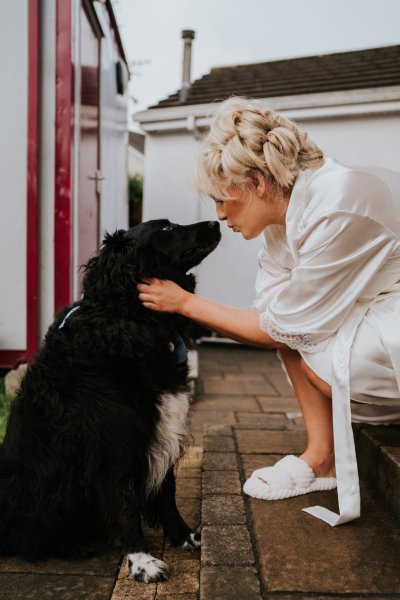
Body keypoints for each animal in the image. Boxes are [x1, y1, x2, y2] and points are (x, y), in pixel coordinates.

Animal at [0, 219, 220, 580]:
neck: (130, 316)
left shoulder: (161, 431)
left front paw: (185, 538)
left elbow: (167, 492)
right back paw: (72, 544)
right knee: (26, 538)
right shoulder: (113, 445)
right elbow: (125, 503)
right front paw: (141, 561)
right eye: (166, 228)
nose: (216, 222)